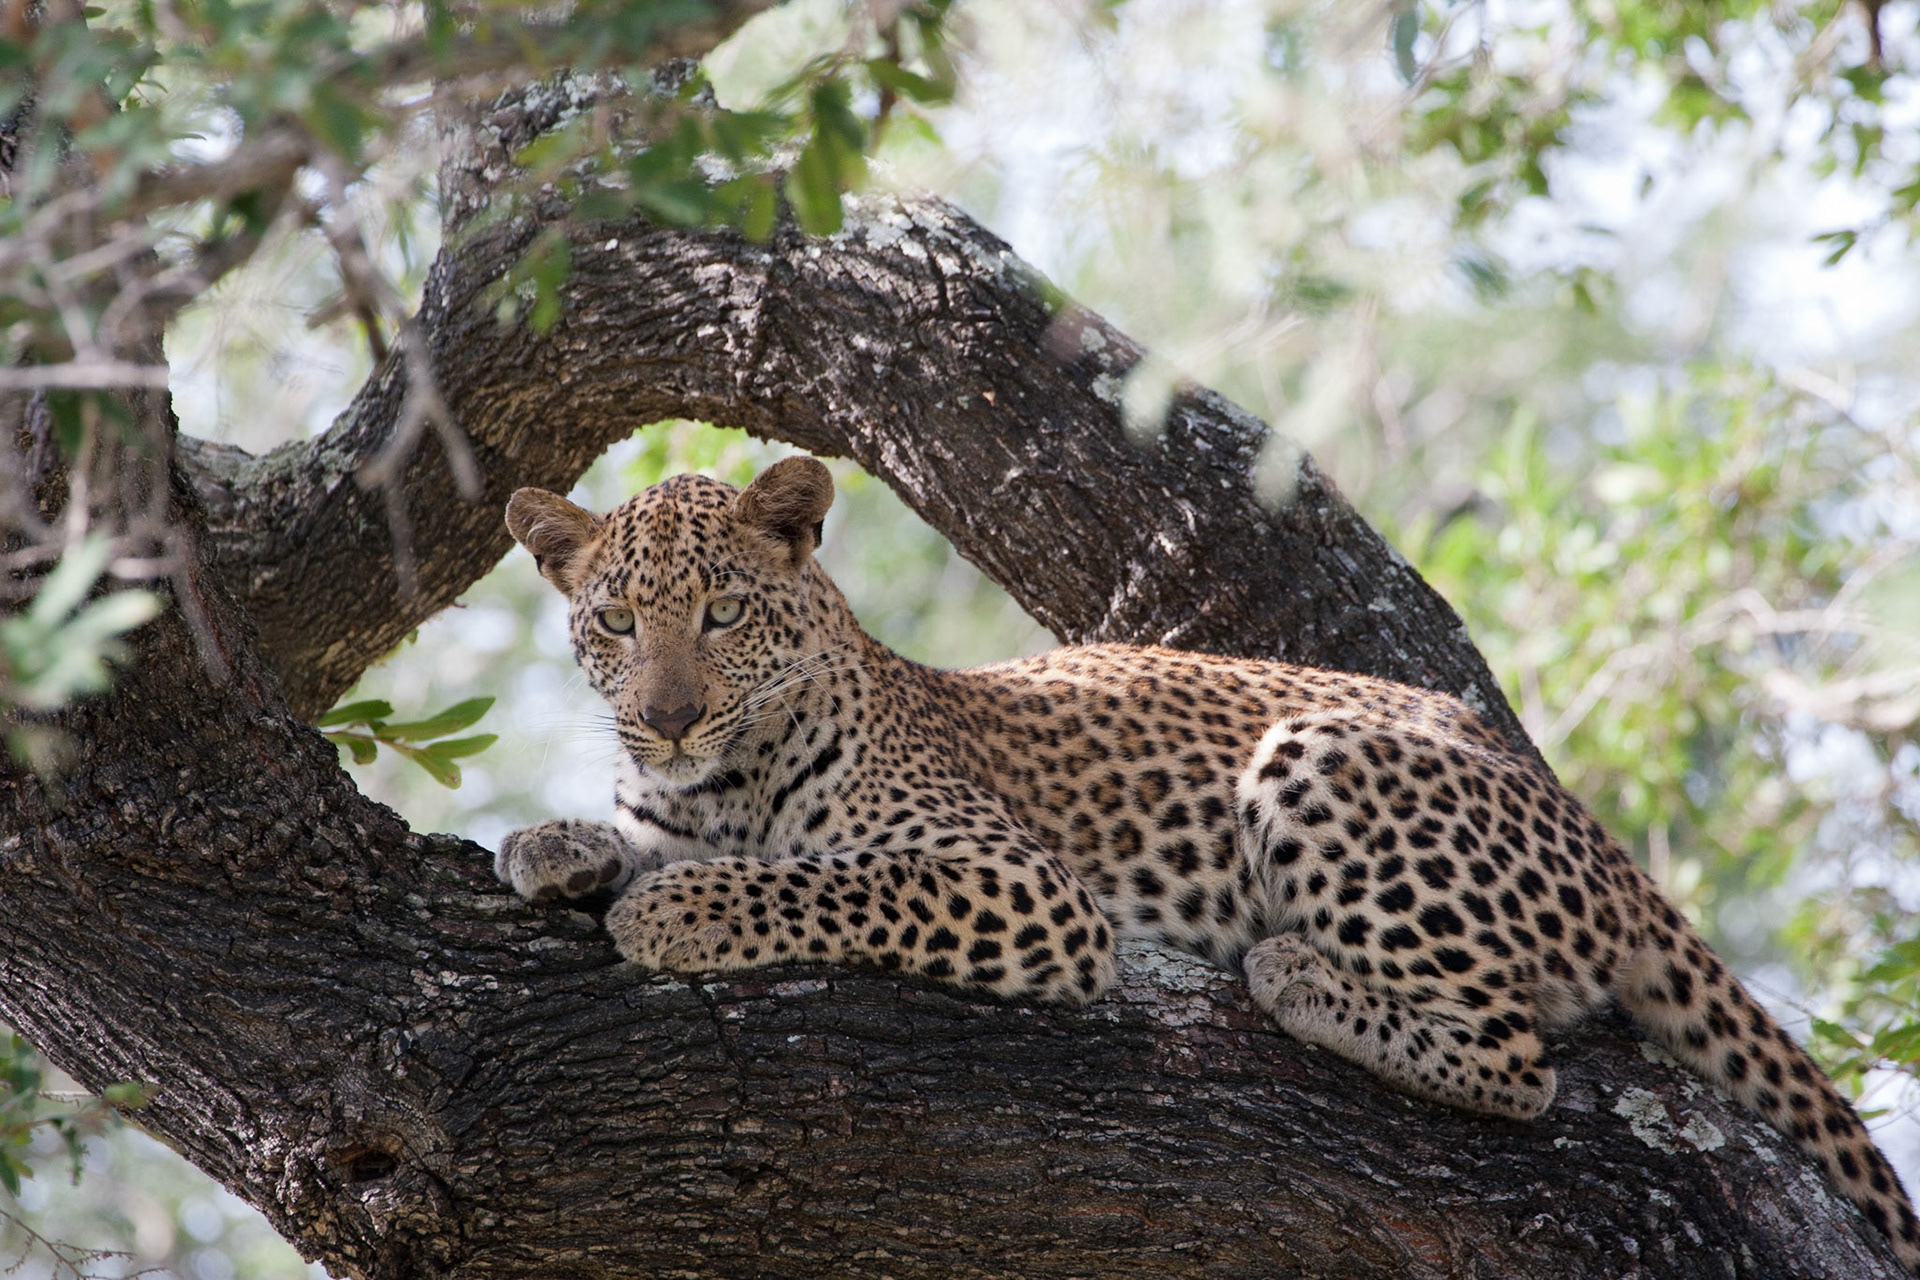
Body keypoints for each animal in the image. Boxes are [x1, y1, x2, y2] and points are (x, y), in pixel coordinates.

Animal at [496, 455, 1920, 1272]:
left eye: (724, 610)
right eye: (613, 622)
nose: (667, 714)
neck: (723, 779)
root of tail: (1588, 826)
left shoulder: (1022, 885)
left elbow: (825, 877)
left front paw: (678, 906)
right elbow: (627, 834)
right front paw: (552, 843)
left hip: (1324, 751)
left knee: (1523, 1062)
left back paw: (1300, 974)